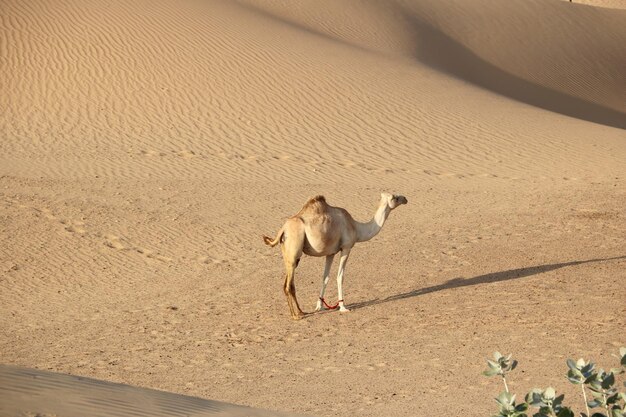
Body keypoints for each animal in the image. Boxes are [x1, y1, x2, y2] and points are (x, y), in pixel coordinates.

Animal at [262, 192, 404, 318]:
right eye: (395, 197)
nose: (405, 199)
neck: (356, 228)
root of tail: (283, 229)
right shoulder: (346, 248)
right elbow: (340, 276)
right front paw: (343, 307)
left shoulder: (330, 253)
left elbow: (325, 277)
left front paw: (320, 306)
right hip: (294, 249)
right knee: (288, 286)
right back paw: (295, 315)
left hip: (289, 255)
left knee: (287, 284)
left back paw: (301, 312)